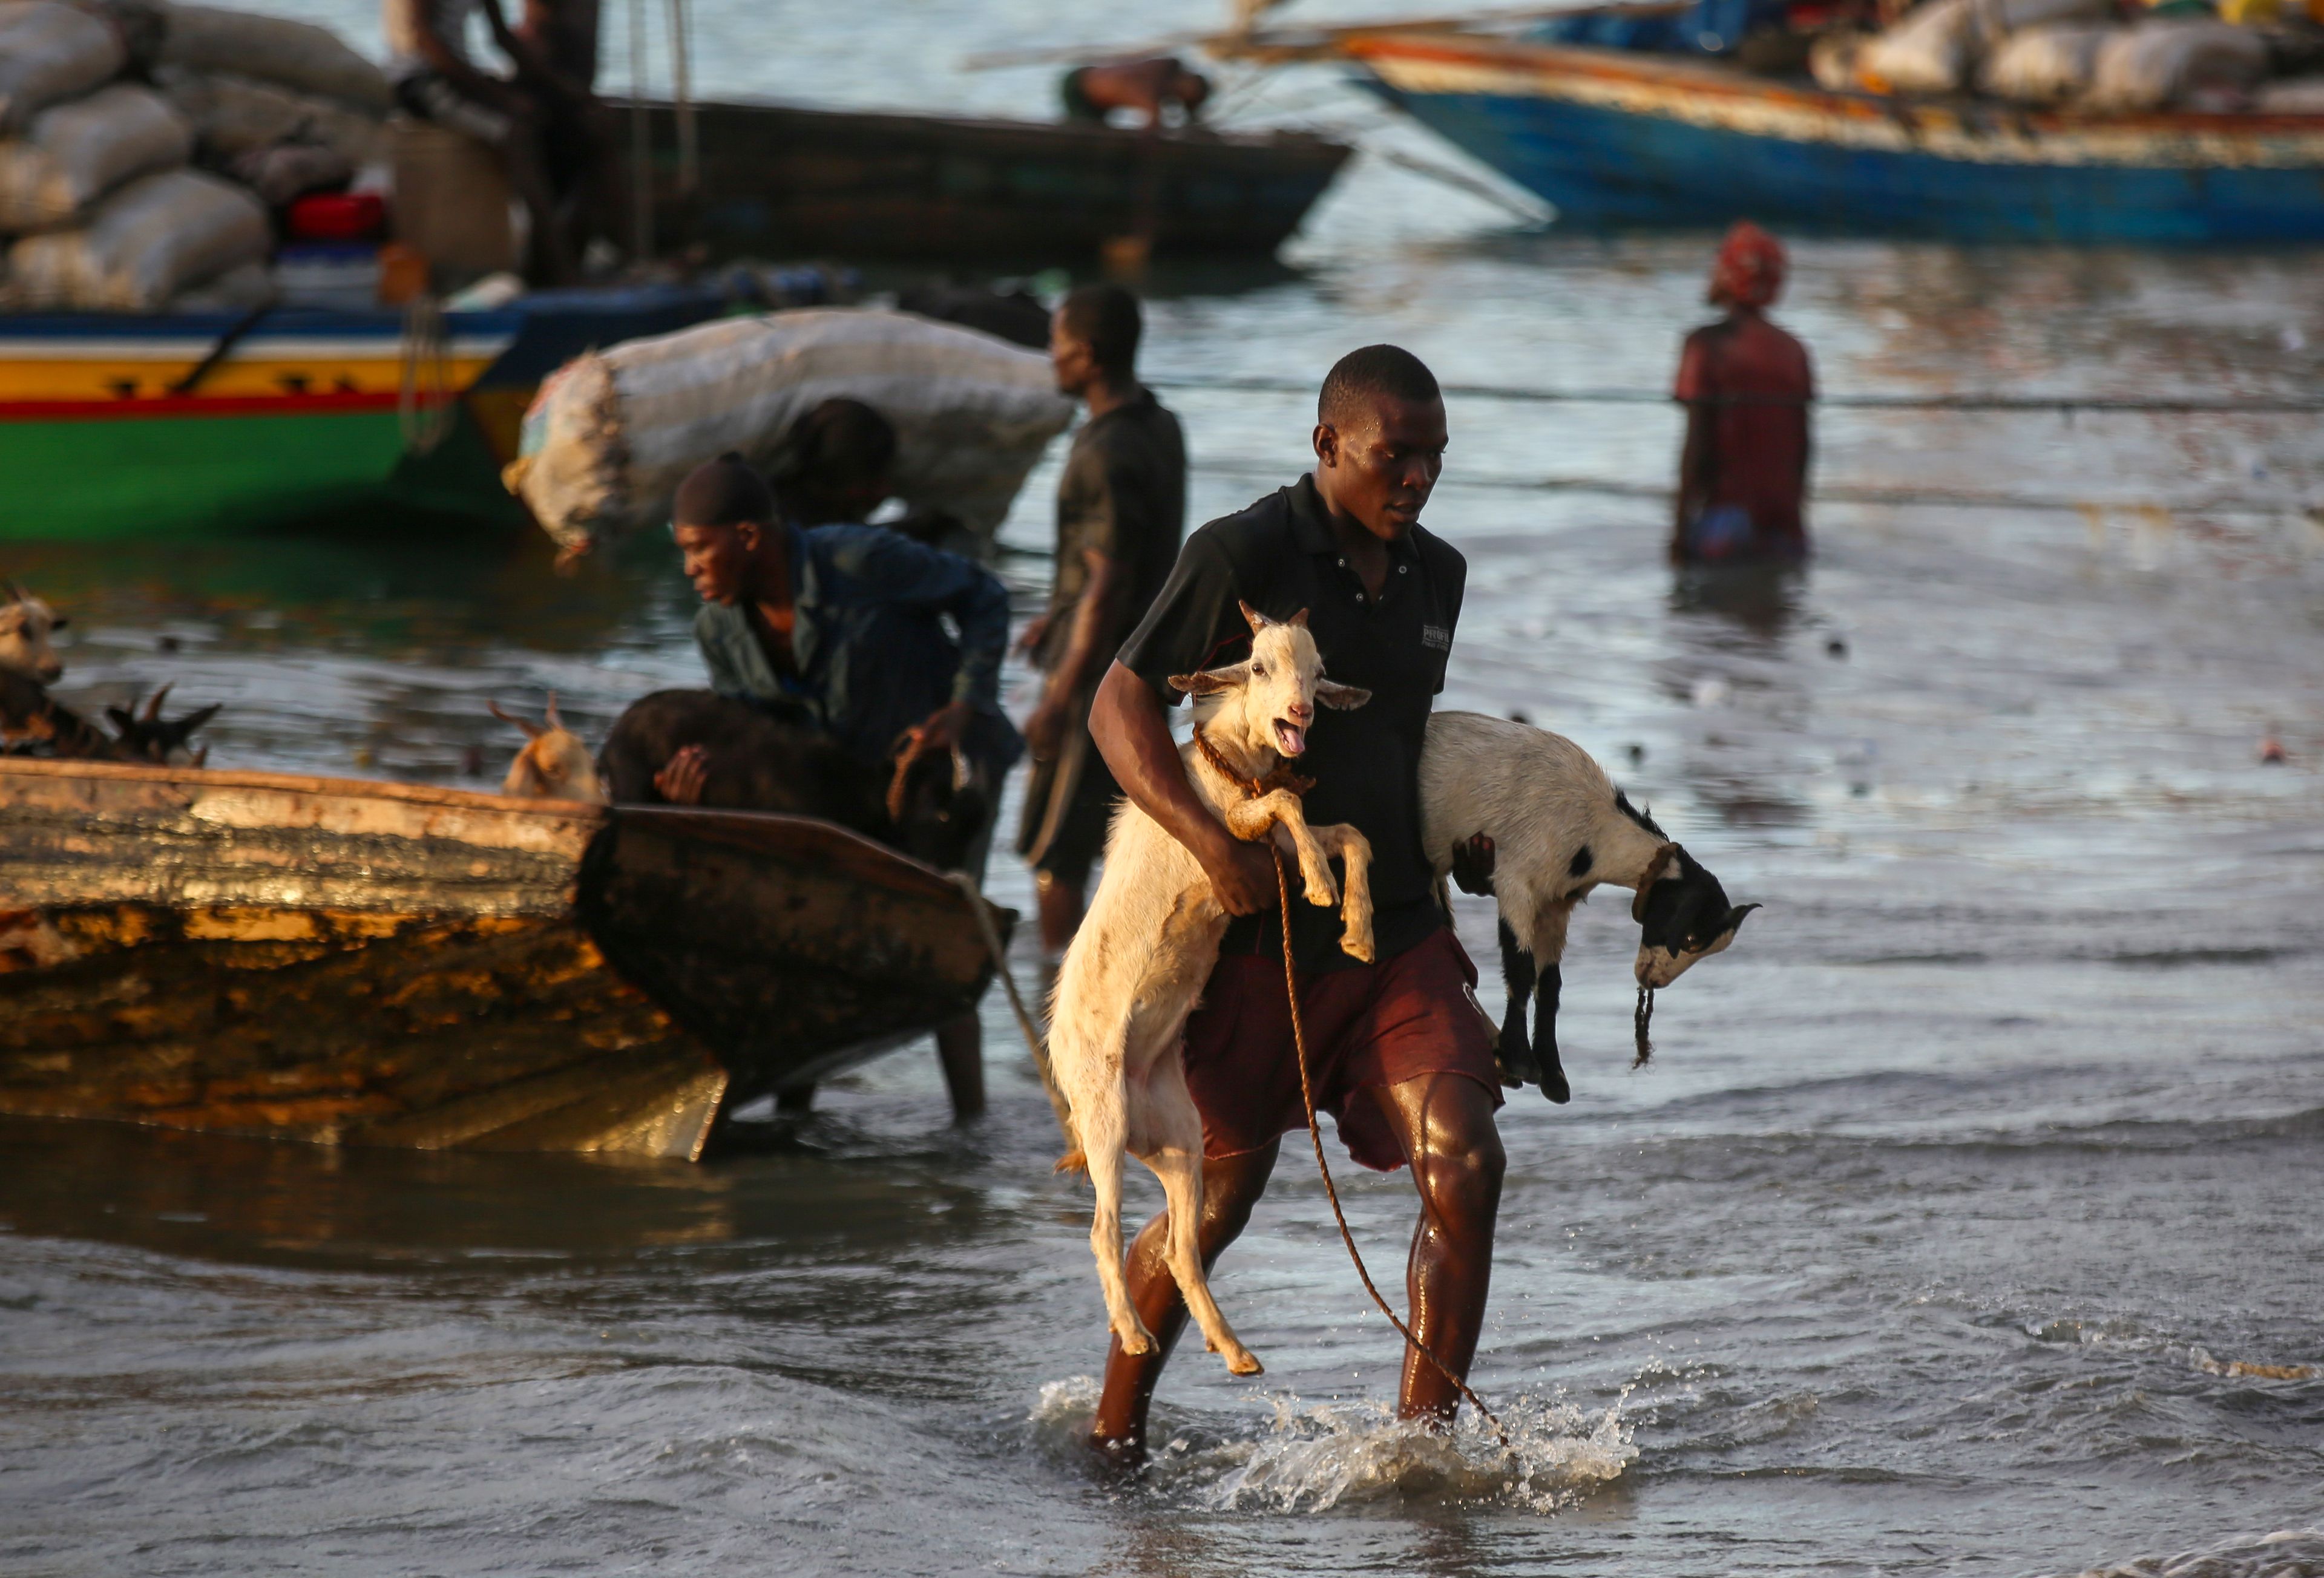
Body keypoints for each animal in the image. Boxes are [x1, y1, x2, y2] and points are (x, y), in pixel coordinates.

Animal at [1060, 599, 1376, 1375]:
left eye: (1318, 671)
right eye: (1258, 666)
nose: (1300, 712)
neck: (1234, 762)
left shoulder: (1270, 837)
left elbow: (1349, 832)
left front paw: (1358, 930)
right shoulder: (1232, 827)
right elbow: (1292, 804)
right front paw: (1320, 889)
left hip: (1181, 1140)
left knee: (1180, 1245)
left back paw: (1234, 1349)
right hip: (1102, 1115)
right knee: (1104, 1230)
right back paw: (1134, 1333)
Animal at [1413, 711, 1757, 1096]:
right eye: (1690, 938)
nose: (1653, 981)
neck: (1593, 832)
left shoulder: (1556, 904)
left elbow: (1550, 983)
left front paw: (1552, 1074)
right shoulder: (1516, 882)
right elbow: (1521, 968)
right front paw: (1519, 1061)